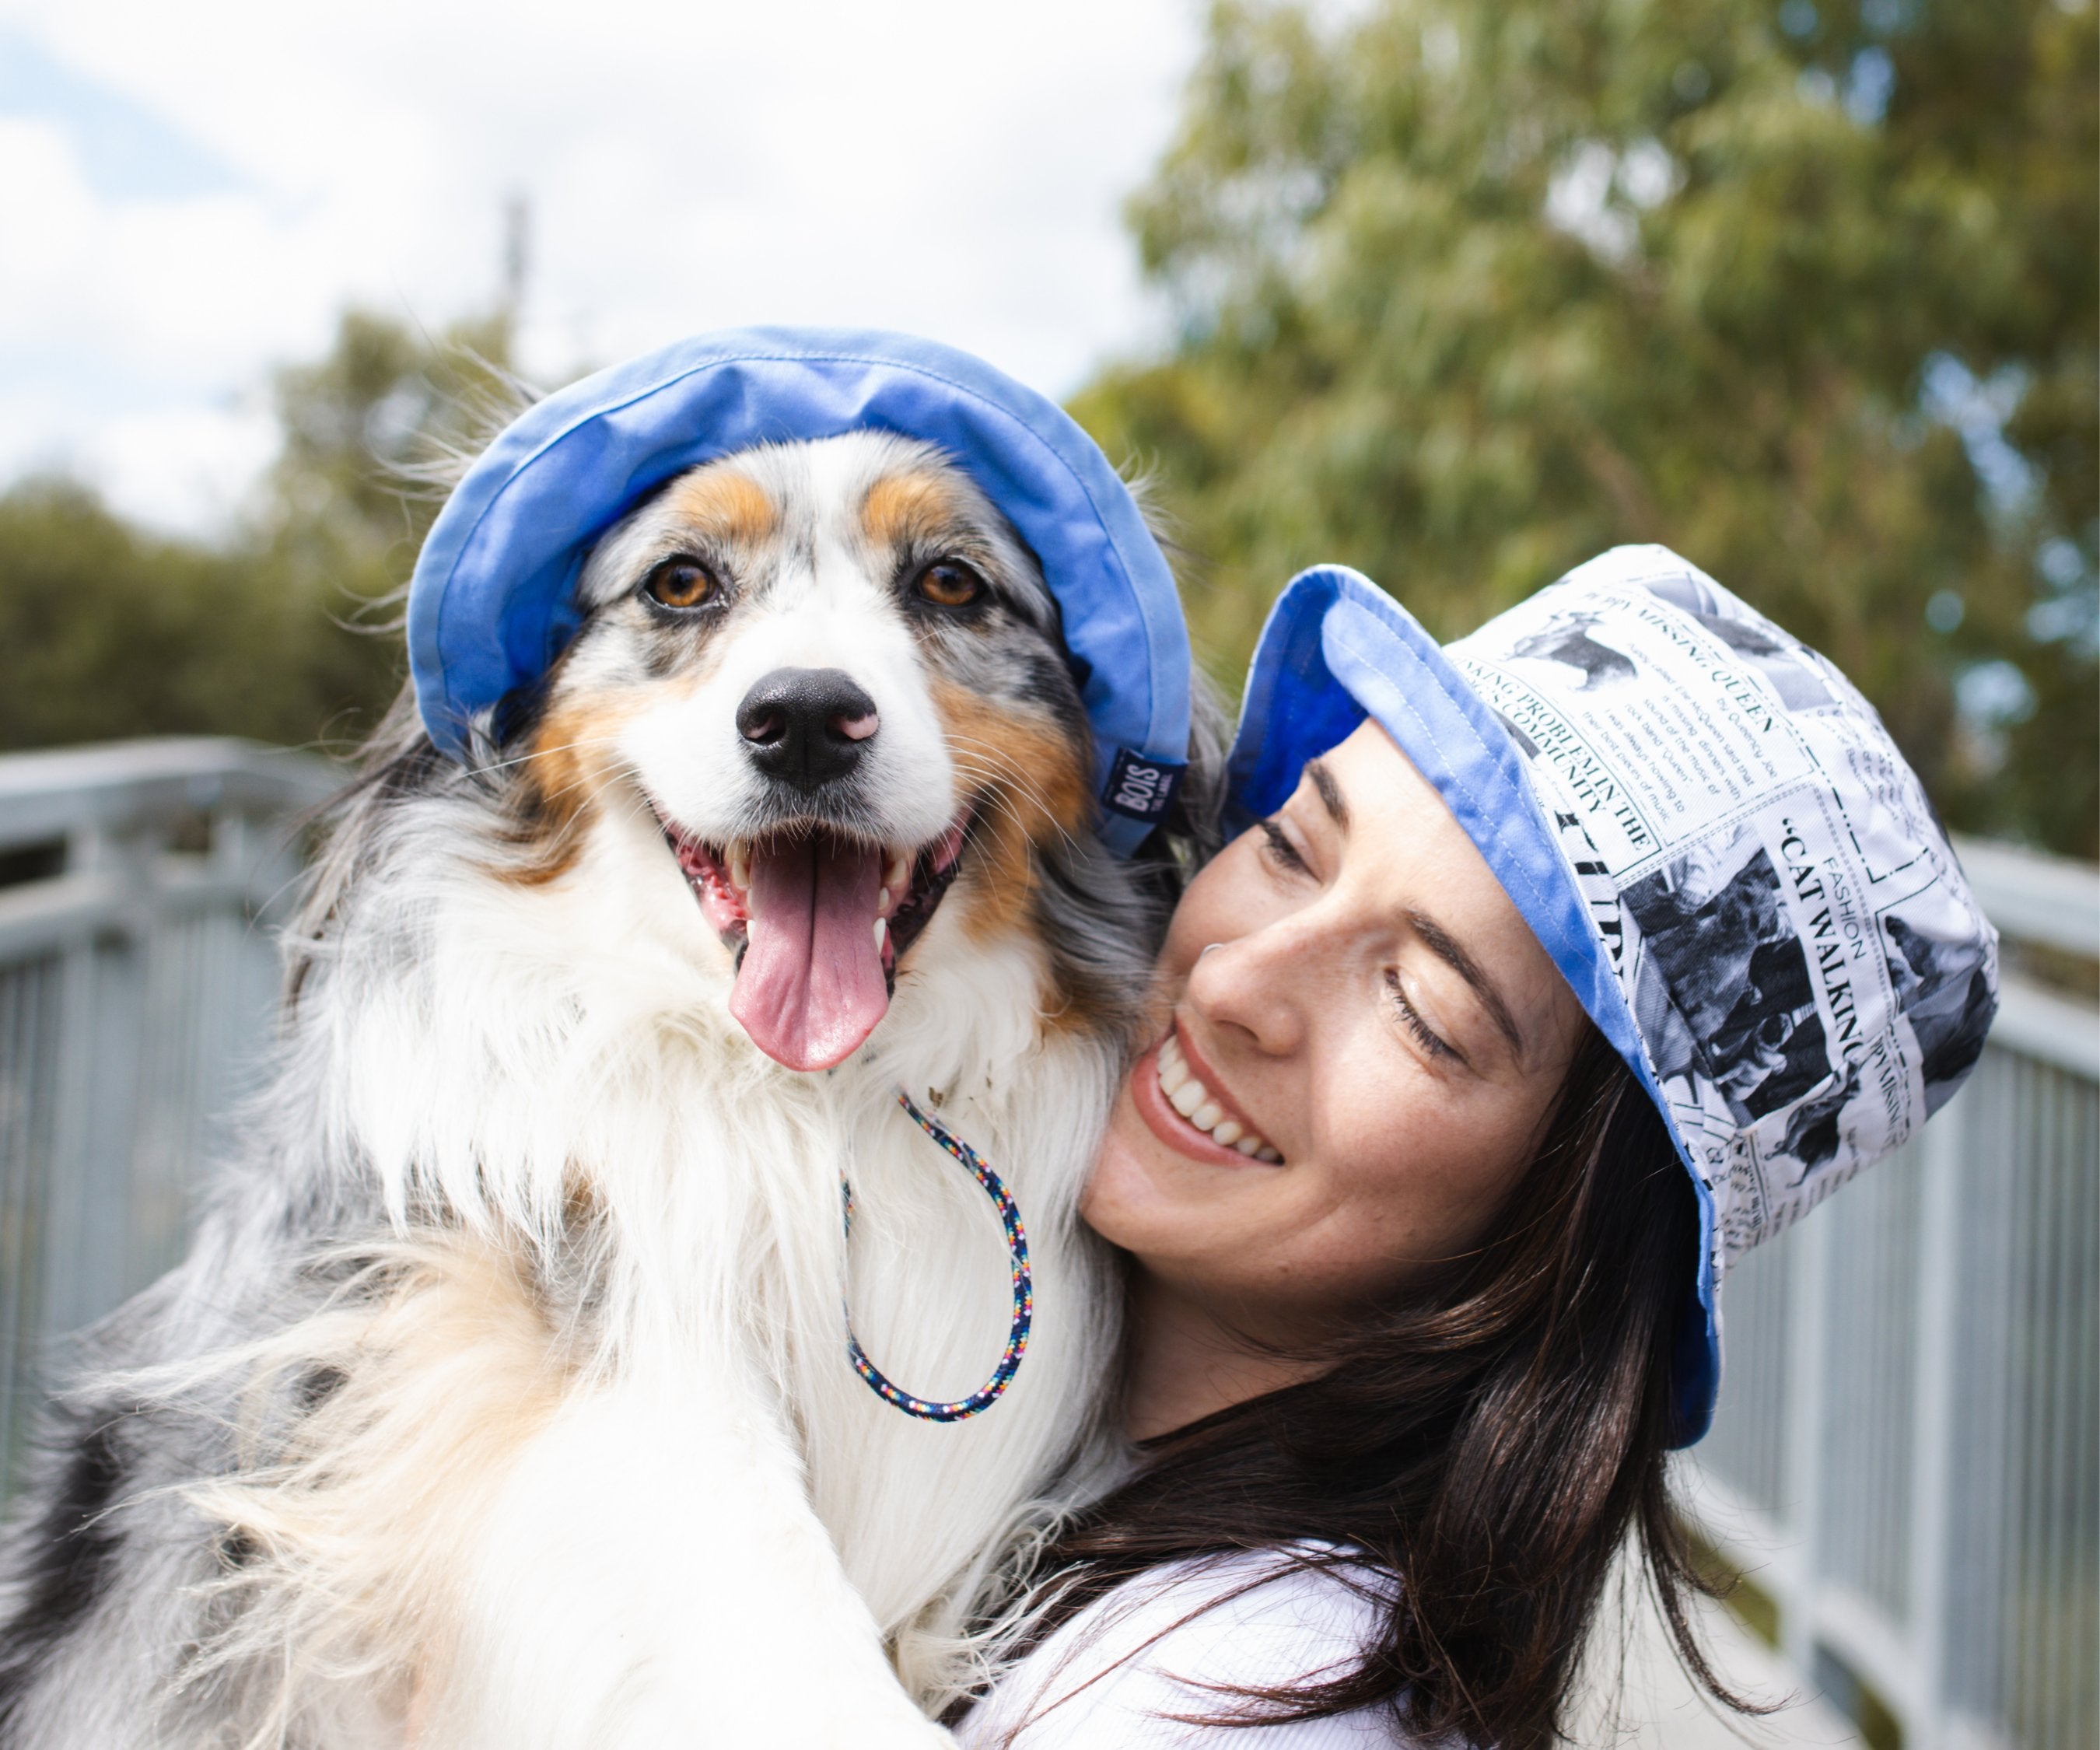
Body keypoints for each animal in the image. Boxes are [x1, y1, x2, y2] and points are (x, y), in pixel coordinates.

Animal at [0, 426, 1218, 1748]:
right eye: (680, 583)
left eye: (951, 582)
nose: (802, 718)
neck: (817, 1099)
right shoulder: (553, 1339)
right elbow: (761, 1578)